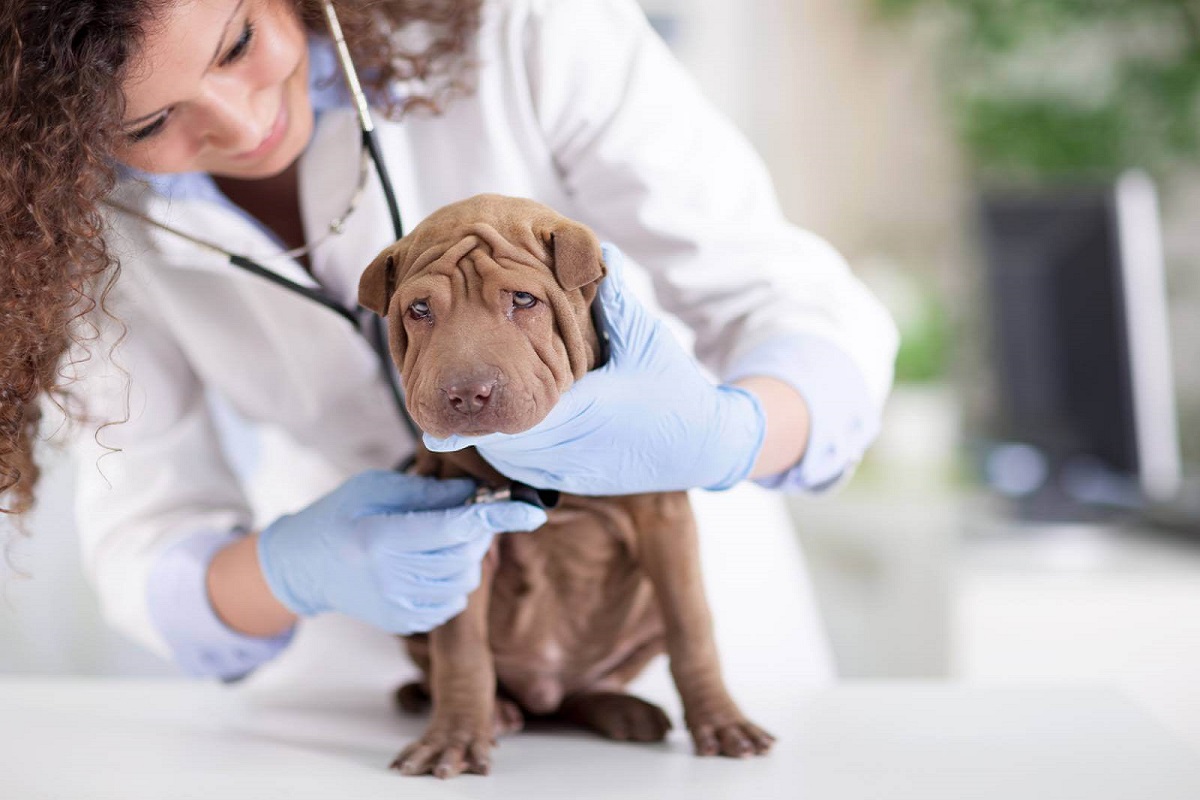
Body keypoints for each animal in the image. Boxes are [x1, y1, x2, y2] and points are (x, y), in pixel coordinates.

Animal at [355, 191, 772, 777]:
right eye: (419, 310)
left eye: (524, 299)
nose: (466, 394)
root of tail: (543, 698)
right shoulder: (461, 537)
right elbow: (461, 651)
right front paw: (455, 735)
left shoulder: (665, 521)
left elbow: (692, 627)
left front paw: (722, 721)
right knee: (441, 663)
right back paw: (491, 708)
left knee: (589, 688)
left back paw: (620, 710)